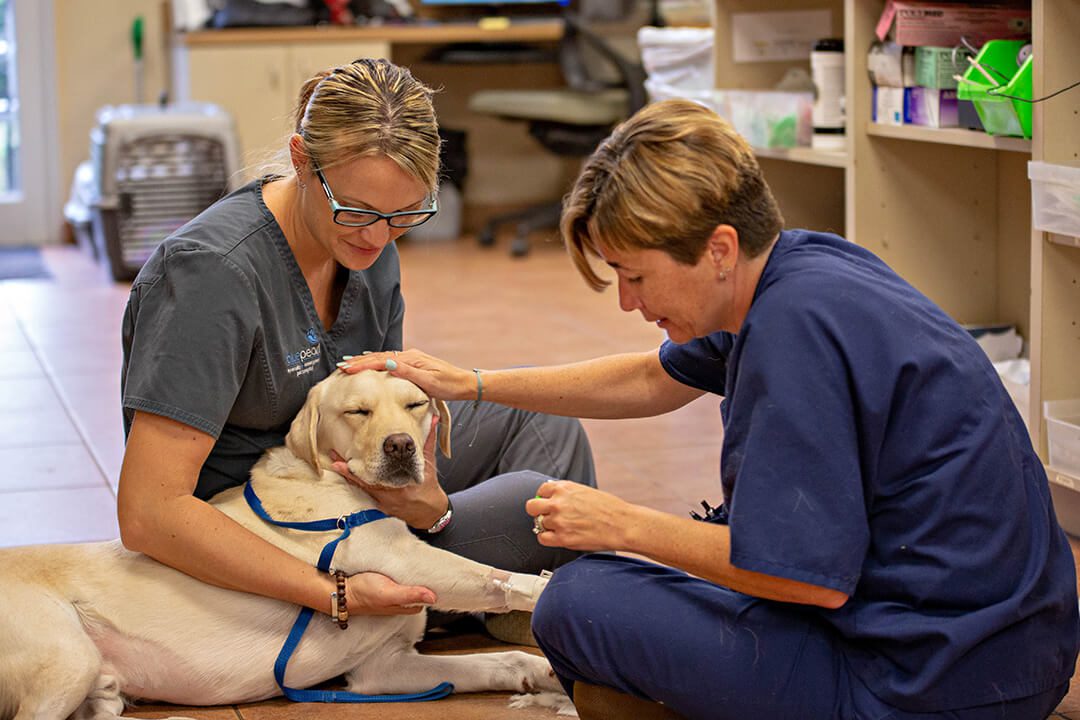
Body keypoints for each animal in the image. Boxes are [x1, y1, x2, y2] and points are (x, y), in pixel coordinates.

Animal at [2, 369, 565, 716]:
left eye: (416, 404)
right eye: (358, 412)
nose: (402, 447)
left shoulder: (384, 669)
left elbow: (507, 662)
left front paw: (547, 678)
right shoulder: (403, 562)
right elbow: (497, 578)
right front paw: (553, 587)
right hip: (68, 658)